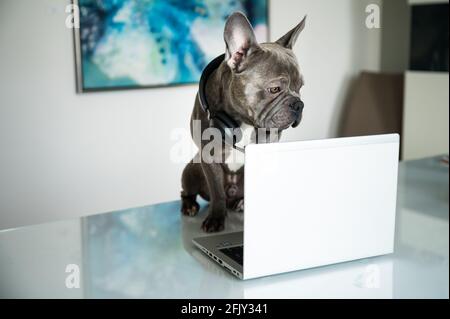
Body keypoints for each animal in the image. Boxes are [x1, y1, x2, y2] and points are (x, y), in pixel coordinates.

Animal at [180, 12, 306, 232]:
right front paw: (216, 219)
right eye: (274, 89)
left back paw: (241, 203)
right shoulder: (208, 156)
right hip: (191, 170)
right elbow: (217, 192)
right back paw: (189, 205)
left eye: (300, 87)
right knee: (188, 192)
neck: (241, 119)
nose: (299, 104)